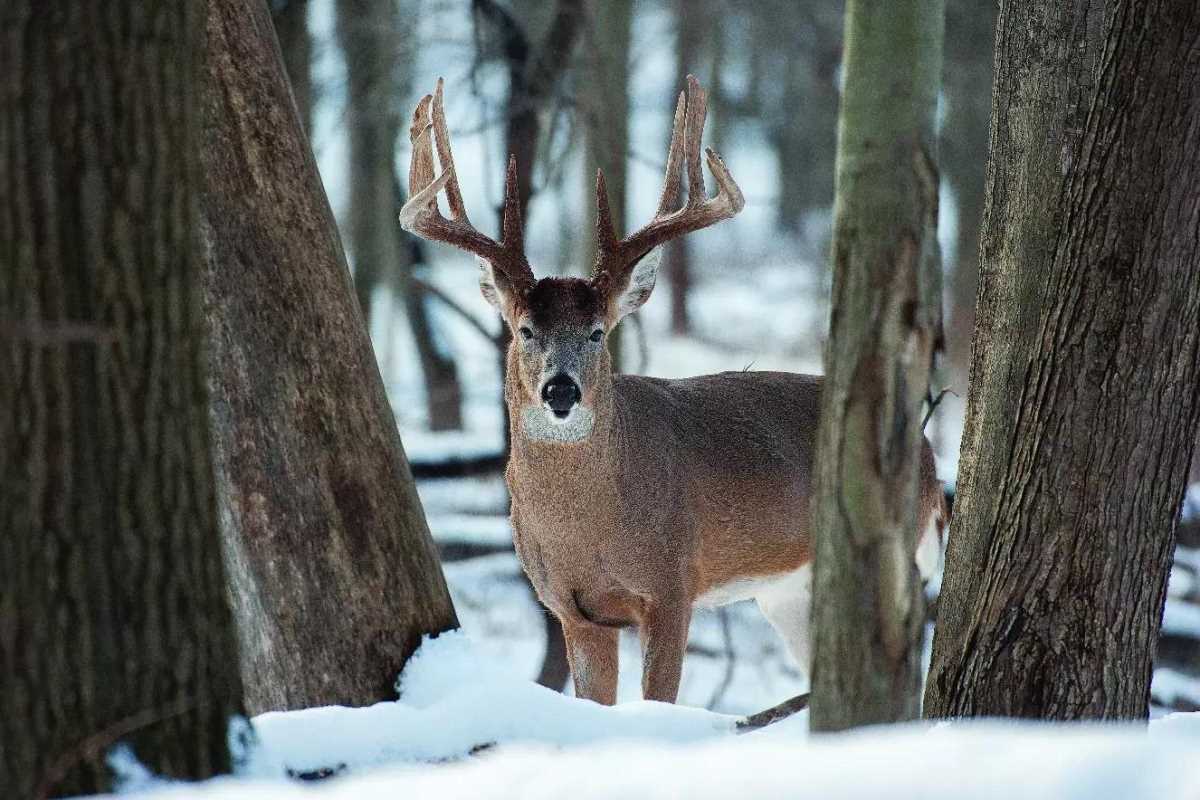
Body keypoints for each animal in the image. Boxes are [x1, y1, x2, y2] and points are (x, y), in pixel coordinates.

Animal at [403, 73, 945, 700]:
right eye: (525, 329)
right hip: (787, 592)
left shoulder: (672, 586)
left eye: (597, 331)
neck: (588, 528)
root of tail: (930, 456)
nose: (561, 392)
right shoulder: (571, 609)